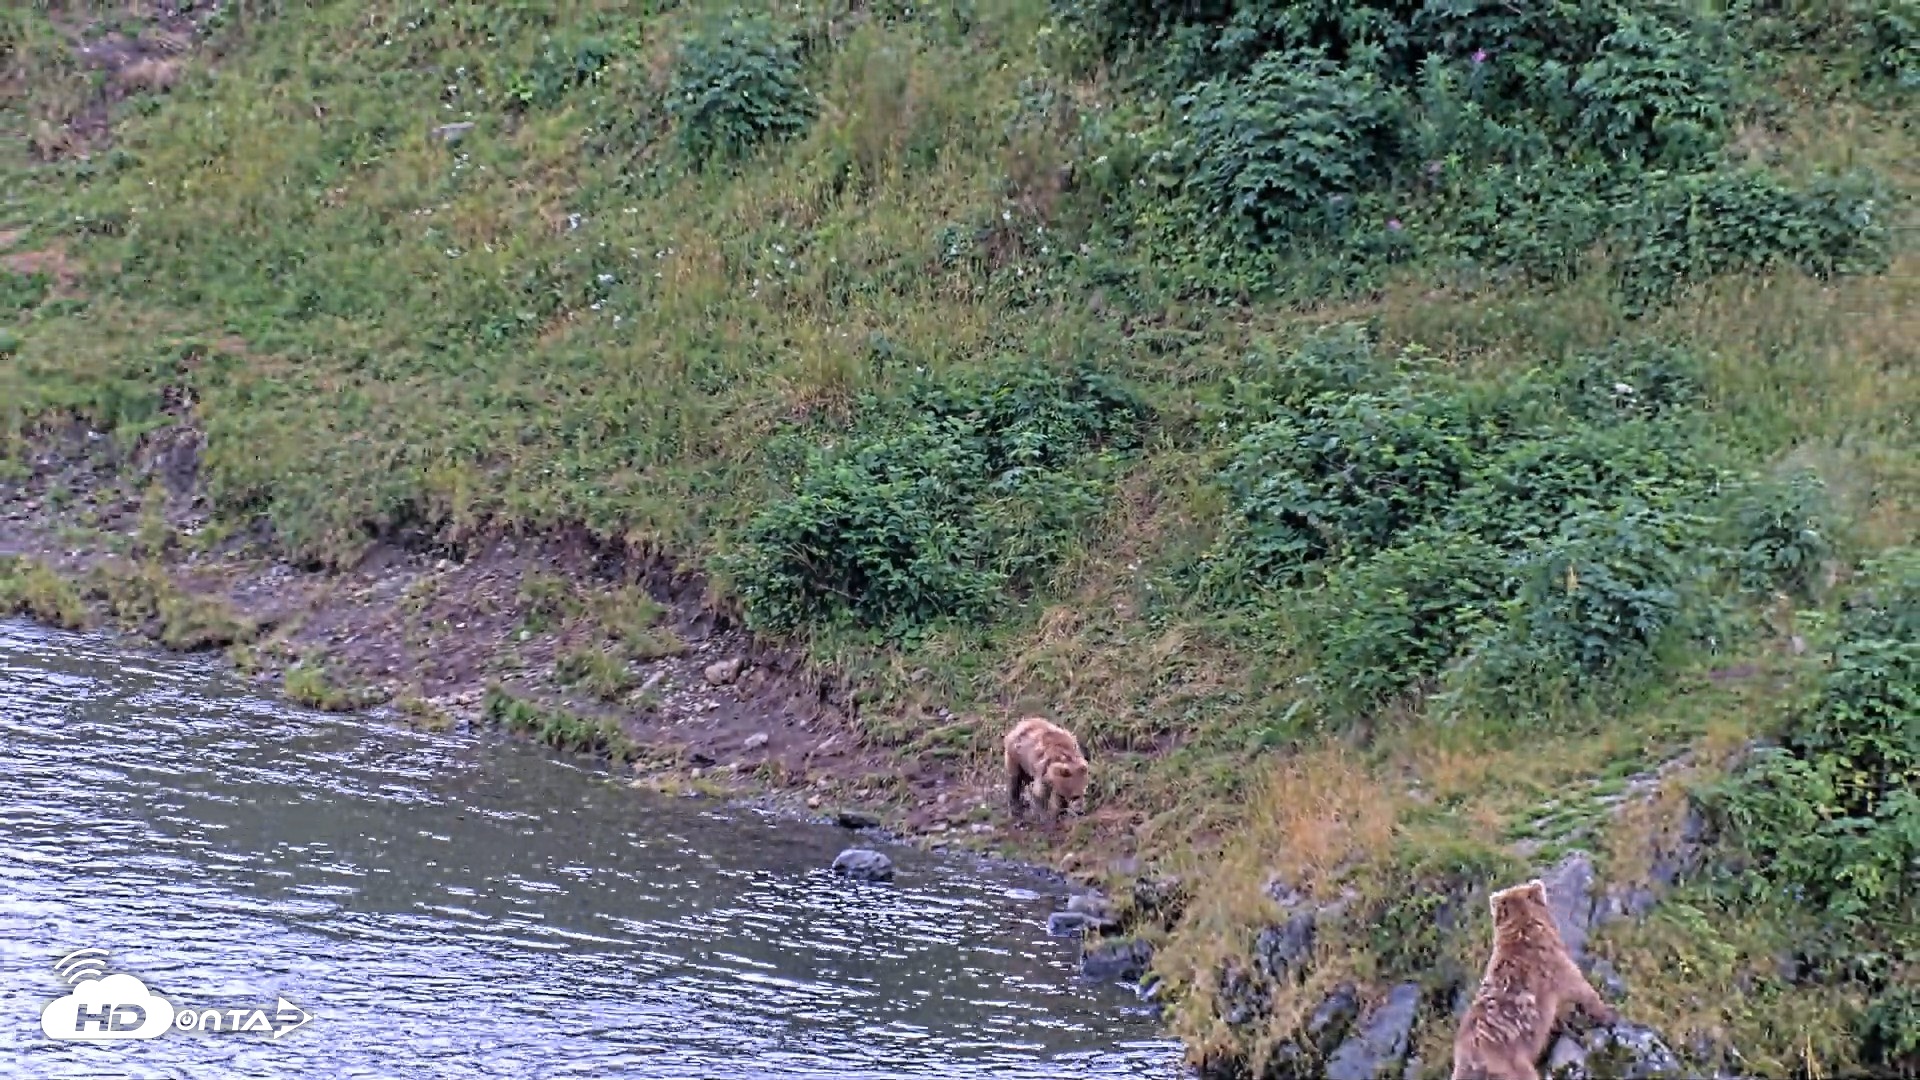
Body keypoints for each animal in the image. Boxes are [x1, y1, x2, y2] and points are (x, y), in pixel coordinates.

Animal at [1451, 878, 1618, 1080]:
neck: (1524, 931)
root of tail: (1471, 1057)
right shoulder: (1553, 967)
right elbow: (1579, 987)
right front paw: (1607, 1013)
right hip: (1511, 1062)